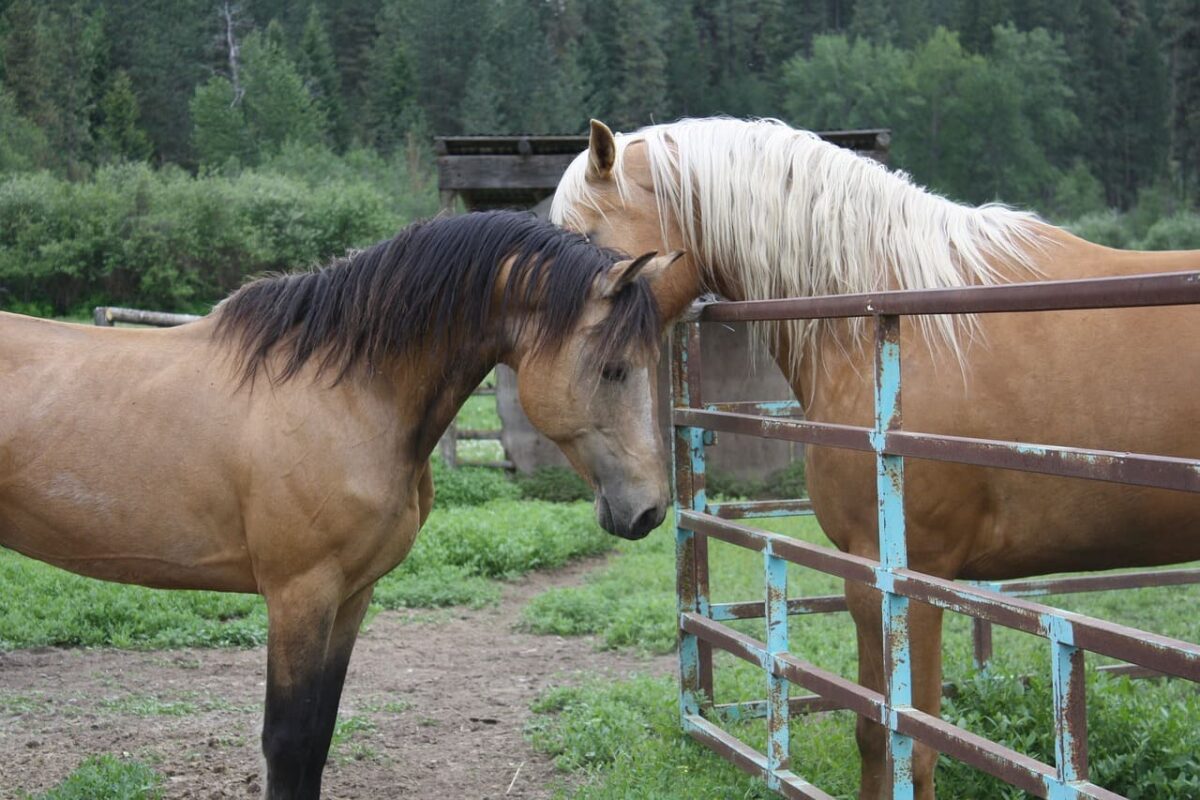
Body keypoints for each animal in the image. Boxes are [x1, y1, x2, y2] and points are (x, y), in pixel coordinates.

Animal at [0, 211, 676, 800]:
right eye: (613, 369)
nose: (648, 510)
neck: (346, 390)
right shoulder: (300, 594)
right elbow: (288, 742)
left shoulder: (352, 596)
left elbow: (319, 739)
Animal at [552, 118, 1200, 800]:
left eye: (590, 245)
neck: (887, 319)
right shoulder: (875, 577)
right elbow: (873, 730)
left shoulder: (906, 580)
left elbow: (909, 739)